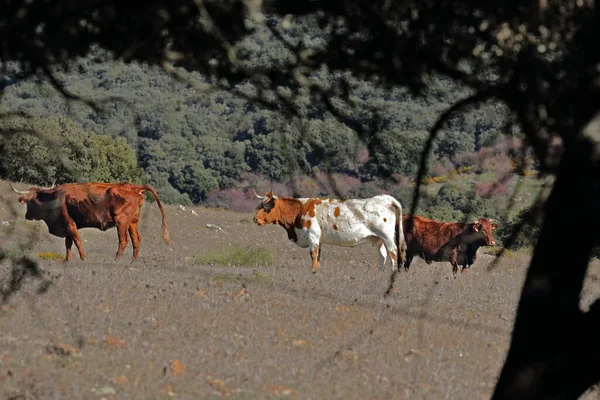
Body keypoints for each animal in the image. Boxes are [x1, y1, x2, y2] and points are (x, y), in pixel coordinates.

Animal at [9, 182, 171, 262]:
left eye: (30, 202)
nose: (26, 216)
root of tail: (133, 187)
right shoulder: (67, 227)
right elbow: (68, 244)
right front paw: (67, 260)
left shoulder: (69, 224)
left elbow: (77, 241)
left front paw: (83, 258)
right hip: (132, 223)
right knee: (136, 240)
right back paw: (133, 261)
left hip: (122, 222)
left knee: (123, 240)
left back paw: (116, 259)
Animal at [251, 191, 406, 274]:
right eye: (260, 205)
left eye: (266, 206)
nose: (255, 219)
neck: (299, 210)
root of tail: (383, 199)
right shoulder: (318, 240)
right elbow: (318, 257)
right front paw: (317, 271)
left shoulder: (313, 237)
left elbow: (313, 255)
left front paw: (313, 271)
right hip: (379, 240)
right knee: (383, 256)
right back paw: (380, 274)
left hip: (387, 237)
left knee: (393, 253)